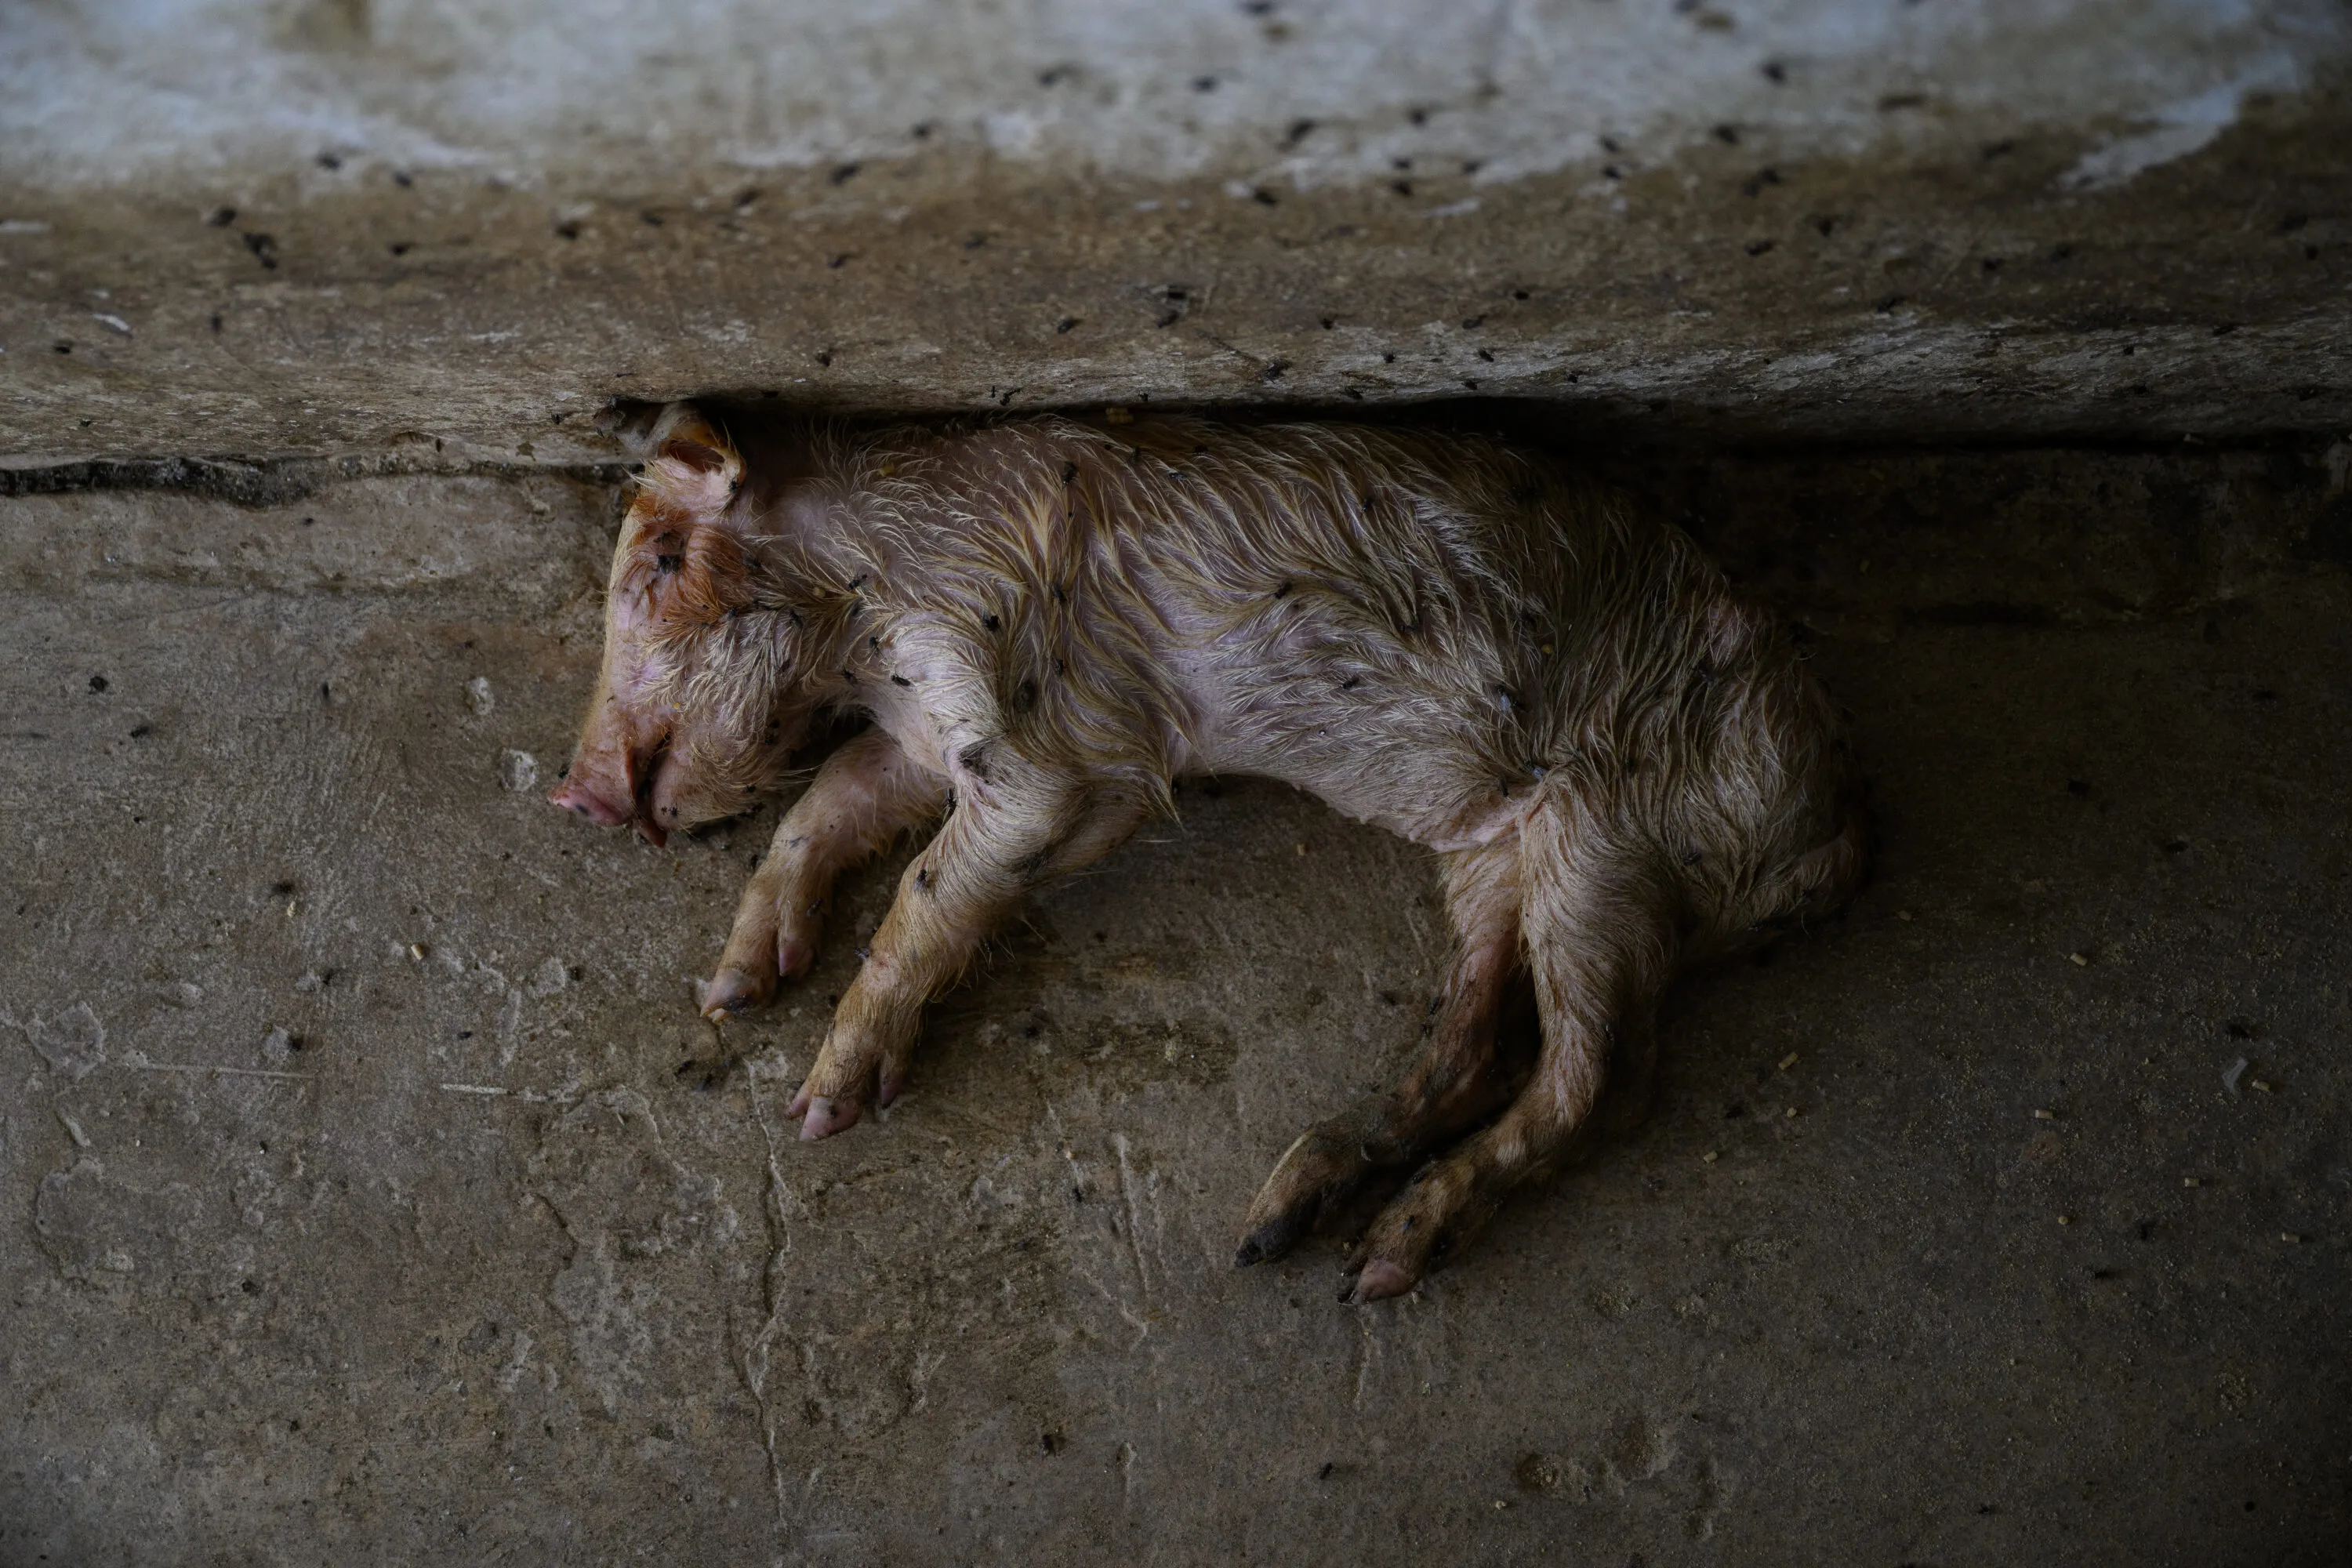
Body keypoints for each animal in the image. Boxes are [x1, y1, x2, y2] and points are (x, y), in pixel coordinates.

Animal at [550, 400, 1867, 1302]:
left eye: (660, 565)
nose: (574, 790)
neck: (869, 616)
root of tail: (1830, 831)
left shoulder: (1042, 729)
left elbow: (929, 889)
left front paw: (820, 1110)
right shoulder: (924, 739)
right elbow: (821, 807)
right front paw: (729, 993)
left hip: (1610, 851)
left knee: (1603, 1086)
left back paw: (1376, 1270)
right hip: (1497, 854)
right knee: (1473, 1050)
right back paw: (1274, 1228)